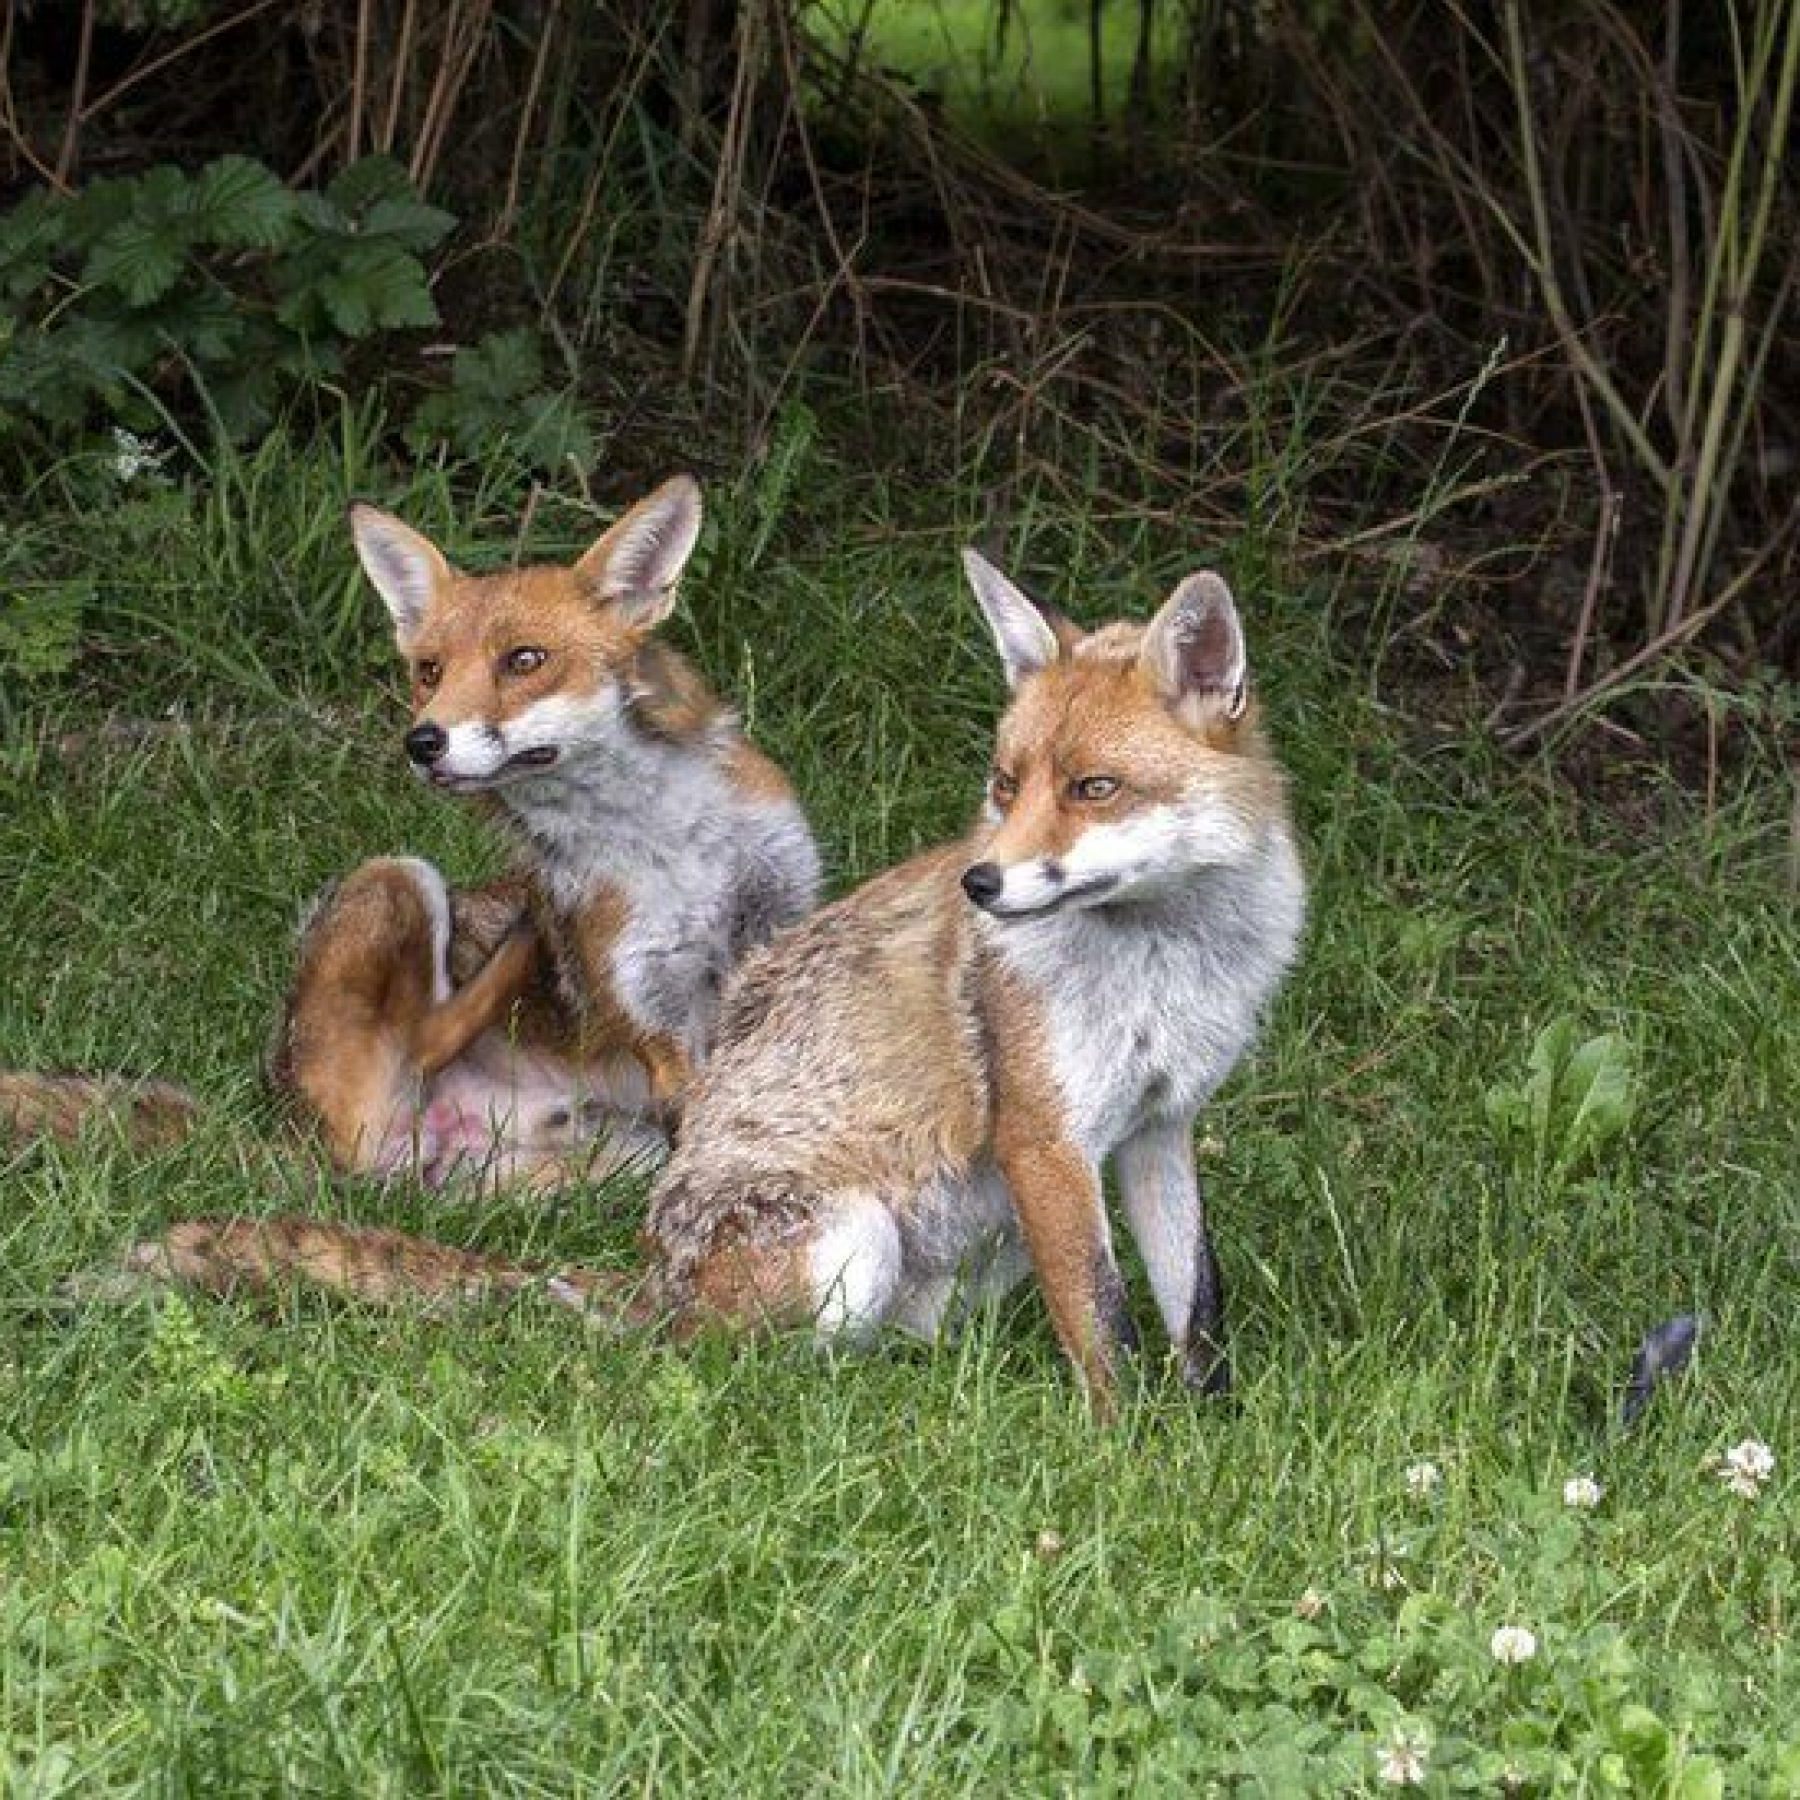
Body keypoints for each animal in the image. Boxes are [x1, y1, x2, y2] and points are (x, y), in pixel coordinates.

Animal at [5, 475, 821, 1193]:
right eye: (429, 671)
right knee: (427, 1033)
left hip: (592, 1159)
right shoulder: (649, 1005)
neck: (678, 848)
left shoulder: (782, 924)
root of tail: (289, 1131)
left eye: (525, 660)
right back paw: (520, 941)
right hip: (395, 875)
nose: (422, 742)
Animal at [110, 544, 1303, 1413]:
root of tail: (651, 1269)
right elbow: (1103, 1327)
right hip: (845, 1240)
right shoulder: (1046, 1141)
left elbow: (1193, 1310)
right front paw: (1132, 1454)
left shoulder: (1158, 1127)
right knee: (720, 1362)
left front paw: (1211, 1432)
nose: (982, 882)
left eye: (1093, 788)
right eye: (1007, 785)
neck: (1169, 961)